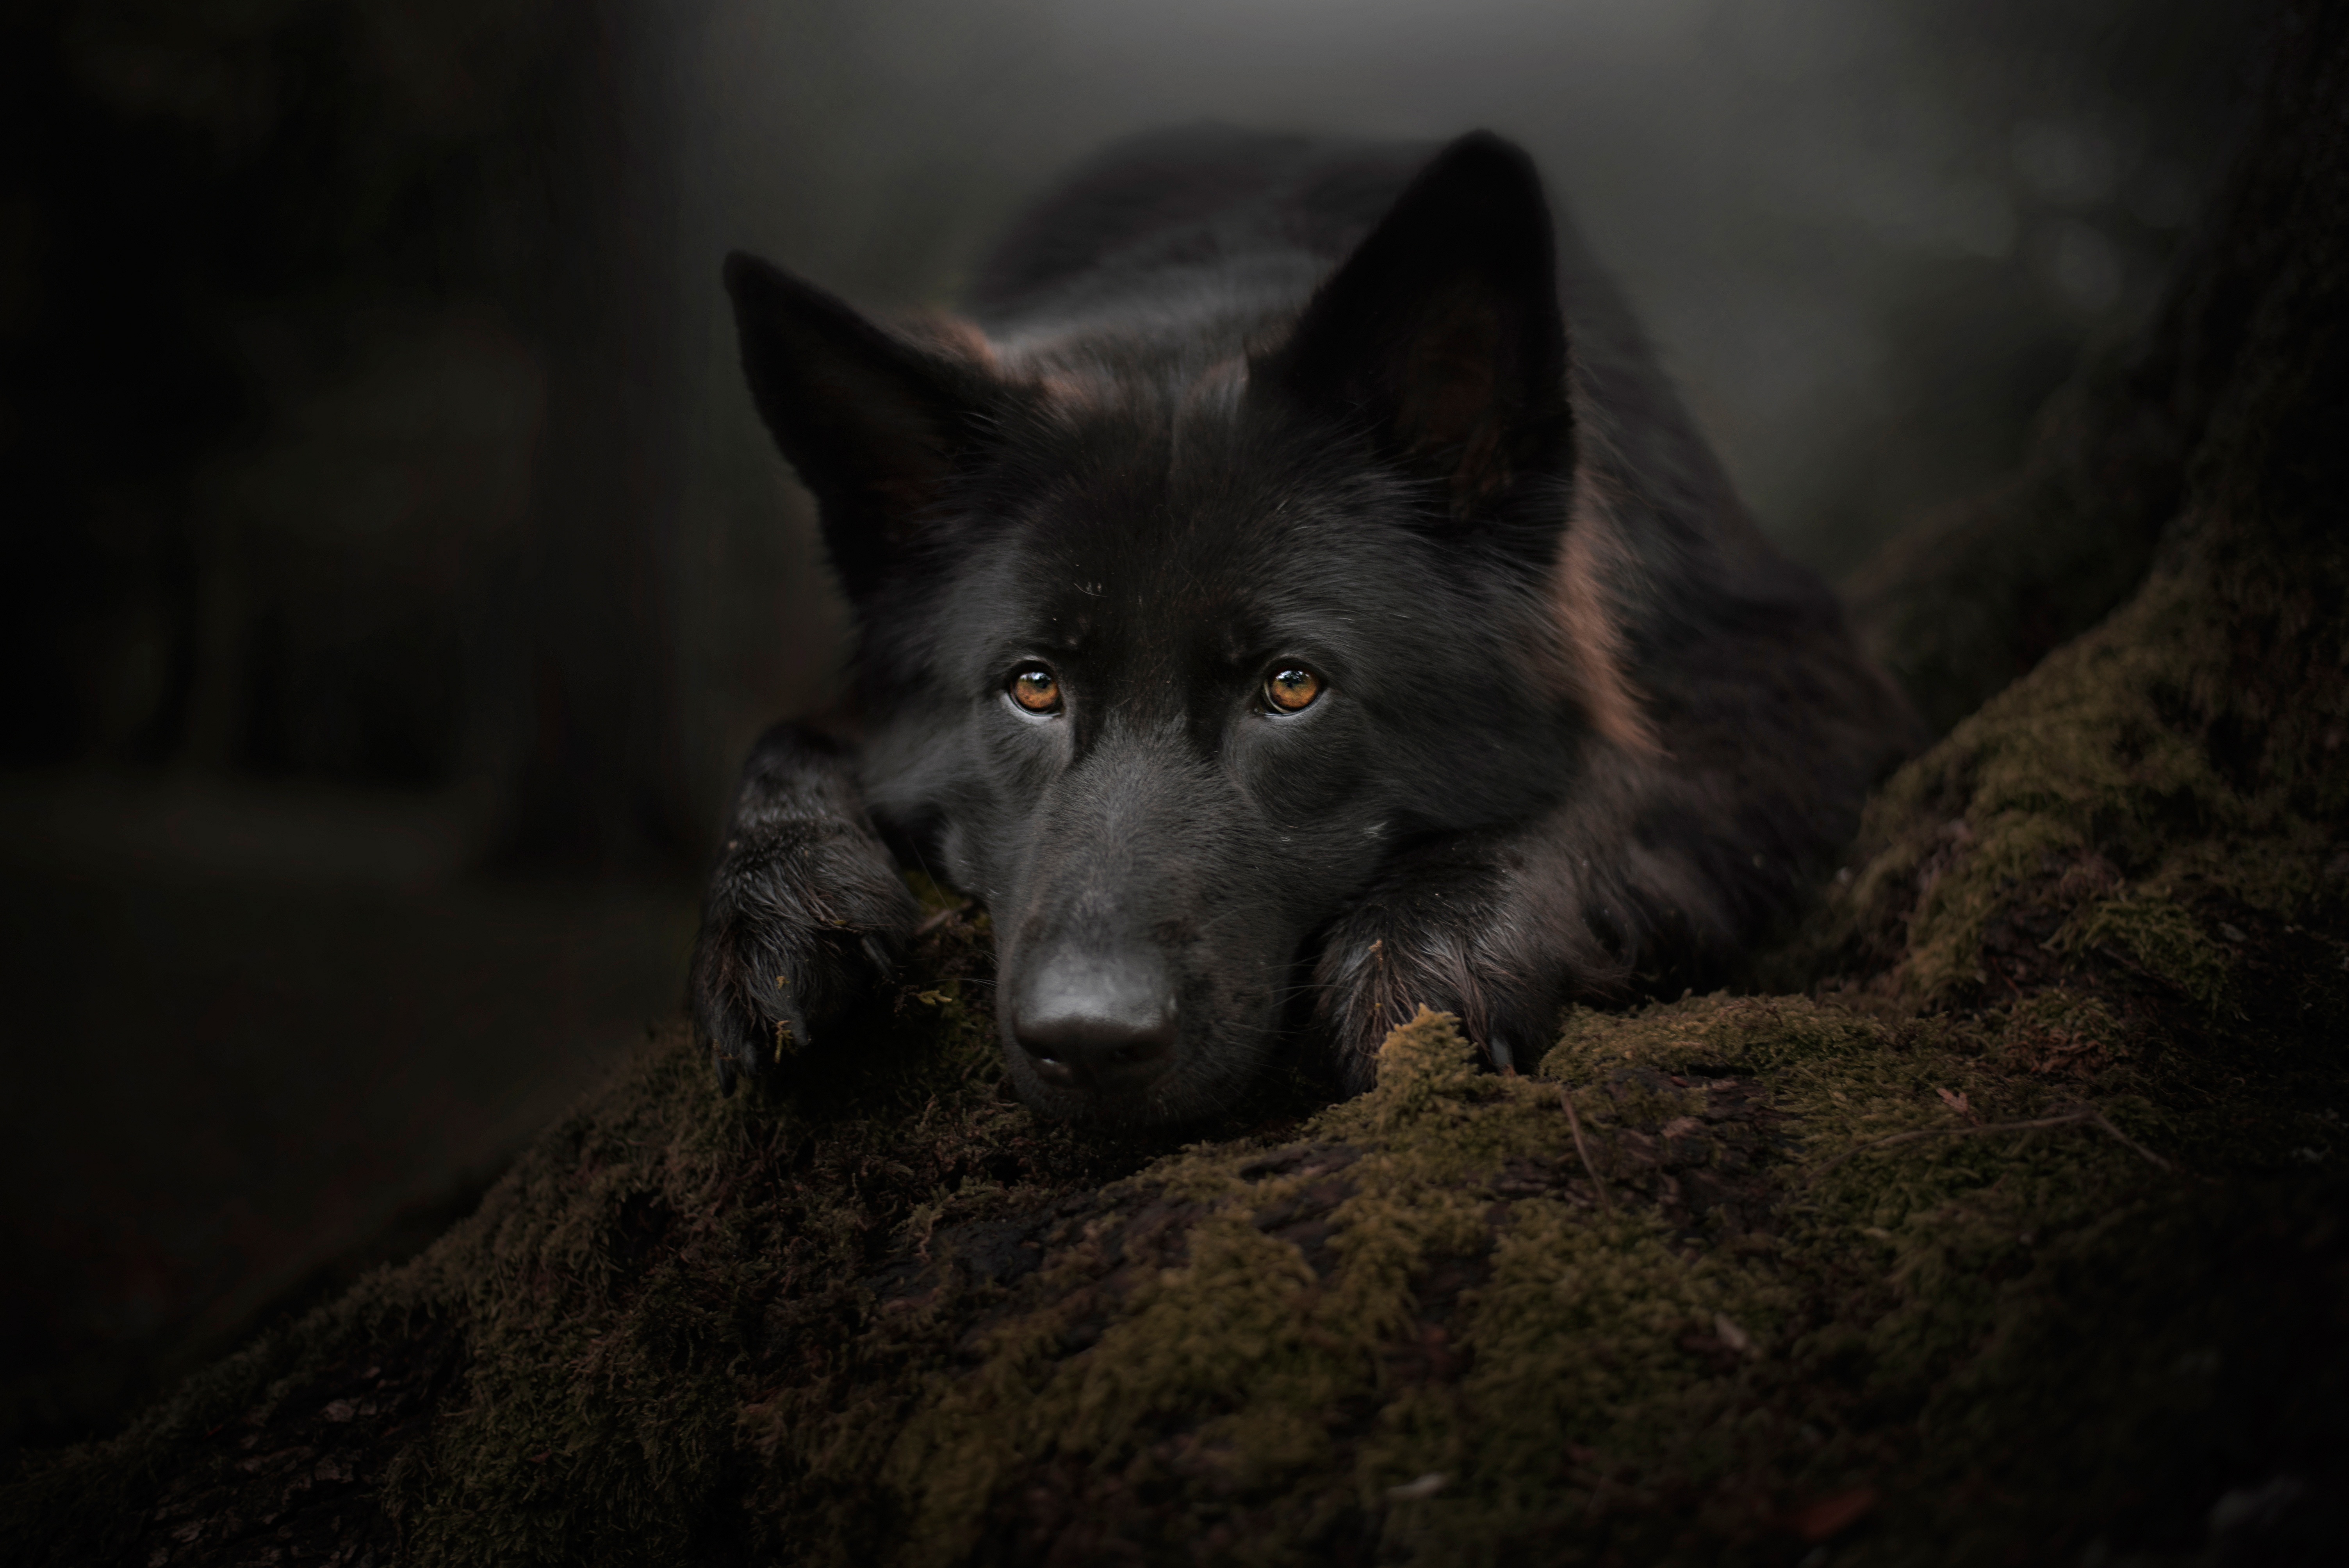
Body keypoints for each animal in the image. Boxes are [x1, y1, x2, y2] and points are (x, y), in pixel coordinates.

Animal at [686, 125, 1917, 1126]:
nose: (1088, 1044)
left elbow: (1619, 776)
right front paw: (778, 896)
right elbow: (789, 735)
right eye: (1033, 685)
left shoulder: (1784, 669)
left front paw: (1428, 945)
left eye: (1290, 686)